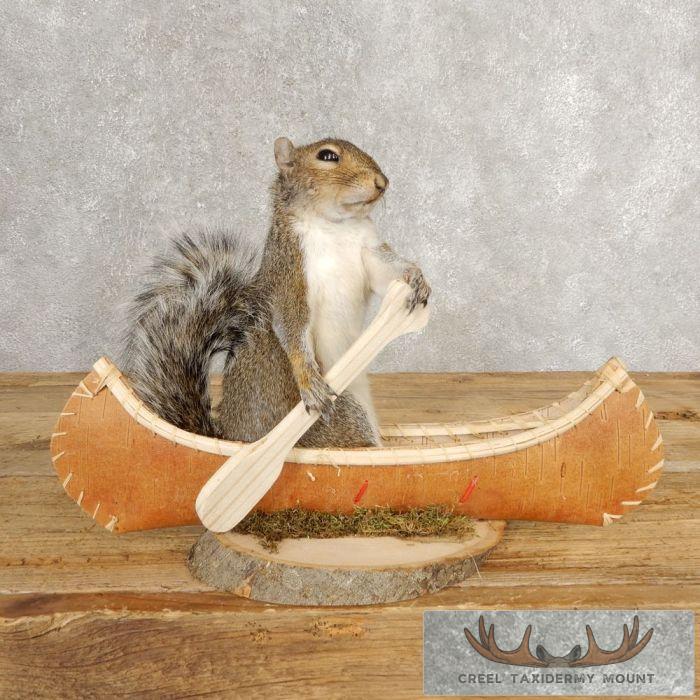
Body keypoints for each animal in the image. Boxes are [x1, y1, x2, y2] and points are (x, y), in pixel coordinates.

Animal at [122, 137, 430, 448]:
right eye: (327, 156)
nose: (382, 182)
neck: (335, 226)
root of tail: (237, 439)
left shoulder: (368, 250)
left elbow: (384, 274)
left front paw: (416, 278)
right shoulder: (289, 271)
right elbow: (292, 325)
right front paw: (309, 381)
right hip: (344, 416)